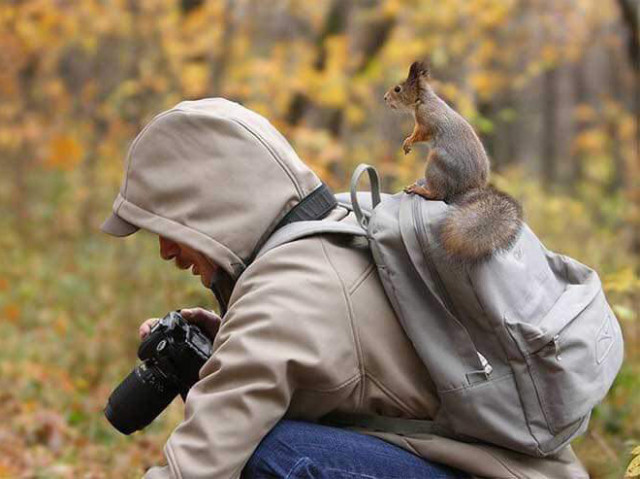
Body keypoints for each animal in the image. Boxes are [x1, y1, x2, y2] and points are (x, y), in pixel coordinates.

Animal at [382, 60, 524, 264]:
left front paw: (408, 142)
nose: (385, 98)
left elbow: (419, 134)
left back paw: (420, 189)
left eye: (398, 89)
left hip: (437, 164)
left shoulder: (427, 122)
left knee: (438, 194)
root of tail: (468, 190)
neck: (422, 101)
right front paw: (406, 144)